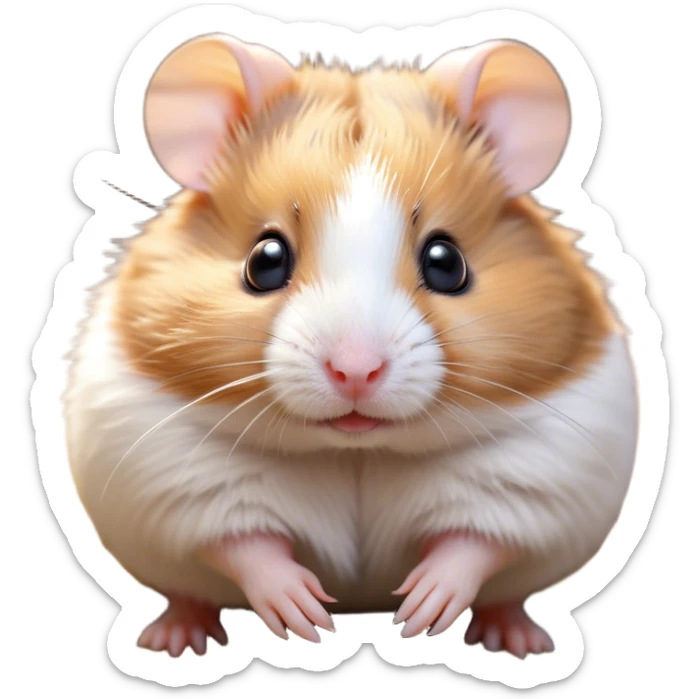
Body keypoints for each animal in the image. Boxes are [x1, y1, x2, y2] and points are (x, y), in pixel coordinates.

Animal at [64, 33, 638, 659]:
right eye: (265, 261)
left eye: (448, 263)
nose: (356, 373)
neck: (356, 451)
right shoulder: (177, 478)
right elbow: (245, 544)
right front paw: (307, 614)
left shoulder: (540, 473)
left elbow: (475, 543)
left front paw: (418, 610)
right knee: (190, 592)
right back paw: (173, 642)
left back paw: (518, 642)